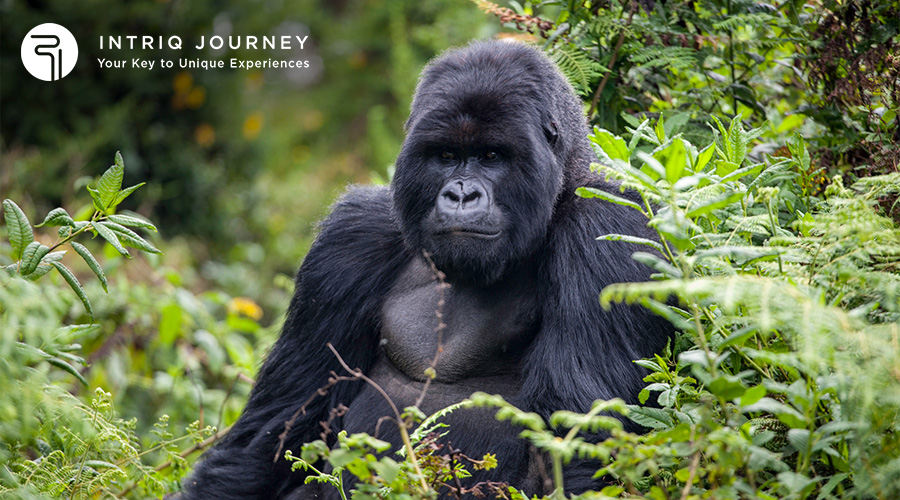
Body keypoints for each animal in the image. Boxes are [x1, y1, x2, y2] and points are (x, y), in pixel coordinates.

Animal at [178, 40, 668, 500]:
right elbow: (275, 432)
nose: (461, 195)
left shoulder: (605, 227)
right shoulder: (350, 238)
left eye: (492, 156)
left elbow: (575, 449)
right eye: (446, 155)